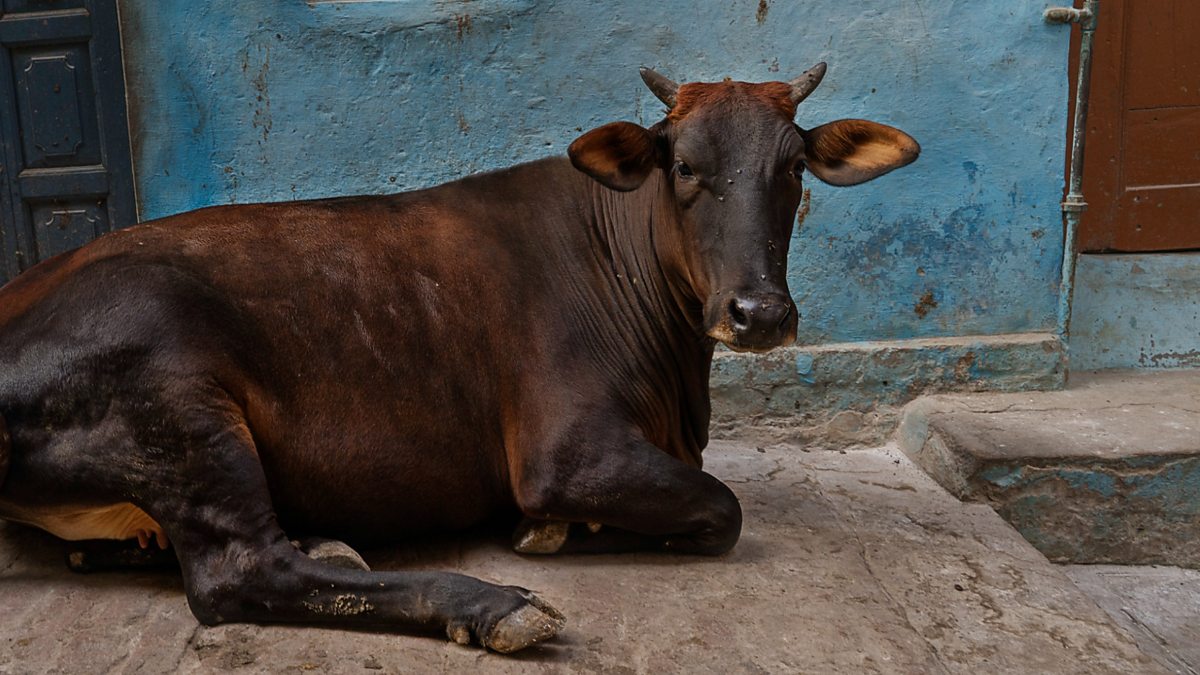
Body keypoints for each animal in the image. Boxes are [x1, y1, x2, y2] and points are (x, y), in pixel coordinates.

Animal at [0, 64, 916, 653]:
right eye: (685, 165)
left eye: (794, 167)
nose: (759, 313)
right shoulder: (566, 452)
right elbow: (722, 508)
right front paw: (552, 533)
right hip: (177, 396)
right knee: (239, 572)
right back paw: (489, 604)